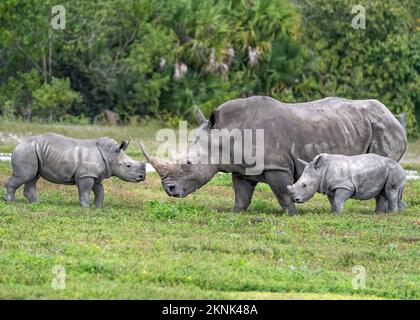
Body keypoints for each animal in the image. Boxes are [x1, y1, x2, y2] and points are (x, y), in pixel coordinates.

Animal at [3, 132, 146, 208]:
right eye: (128, 166)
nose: (142, 177)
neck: (110, 154)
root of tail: (18, 144)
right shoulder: (86, 175)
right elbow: (85, 191)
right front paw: (86, 207)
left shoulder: (93, 175)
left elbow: (100, 191)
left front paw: (97, 207)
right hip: (27, 150)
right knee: (25, 176)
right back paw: (10, 201)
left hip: (32, 151)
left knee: (33, 176)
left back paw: (36, 203)